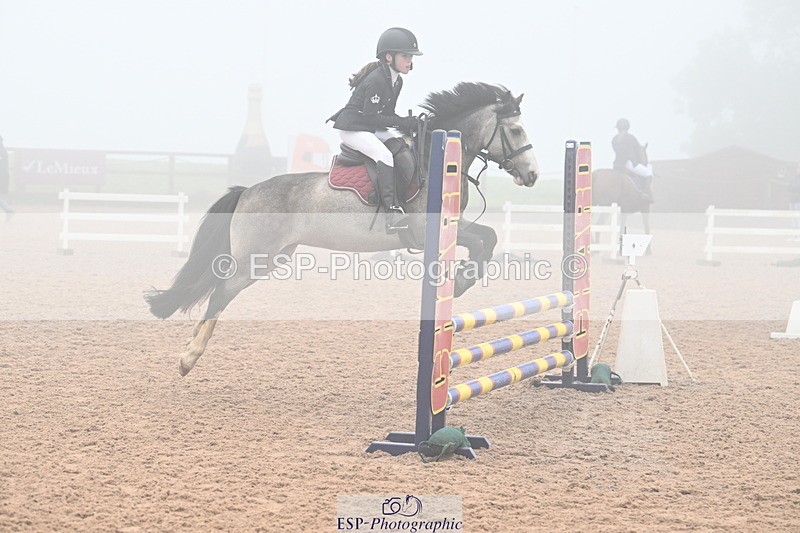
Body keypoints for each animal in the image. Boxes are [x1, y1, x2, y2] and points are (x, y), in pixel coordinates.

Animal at [145, 82, 541, 376]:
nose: (533, 174)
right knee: (219, 293)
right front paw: (460, 281)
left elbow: (488, 238)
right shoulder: (425, 227)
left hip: (271, 259)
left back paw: (190, 348)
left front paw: (461, 280)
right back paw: (188, 357)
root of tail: (247, 191)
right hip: (253, 259)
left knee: (216, 289)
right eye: (516, 129)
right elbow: (484, 240)